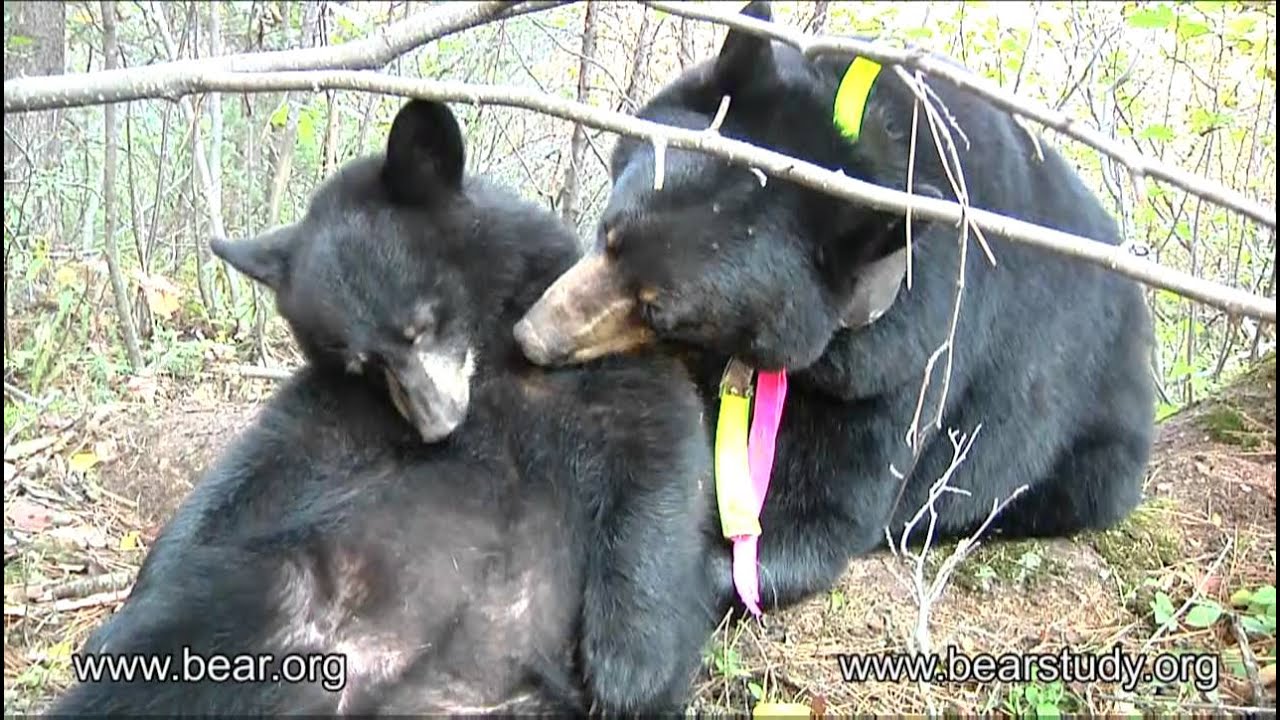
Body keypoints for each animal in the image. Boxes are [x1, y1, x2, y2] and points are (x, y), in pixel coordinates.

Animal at [50, 100, 719, 715]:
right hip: (262, 596)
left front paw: (628, 668)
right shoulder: (347, 407)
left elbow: (659, 453)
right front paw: (119, 617)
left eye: (421, 324)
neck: (489, 360)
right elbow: (262, 461)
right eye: (362, 364)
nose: (437, 426)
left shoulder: (583, 350)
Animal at [514, 0, 1155, 614]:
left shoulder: (904, 358)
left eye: (660, 310)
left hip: (1086, 437)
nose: (533, 337)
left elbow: (818, 515)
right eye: (608, 232)